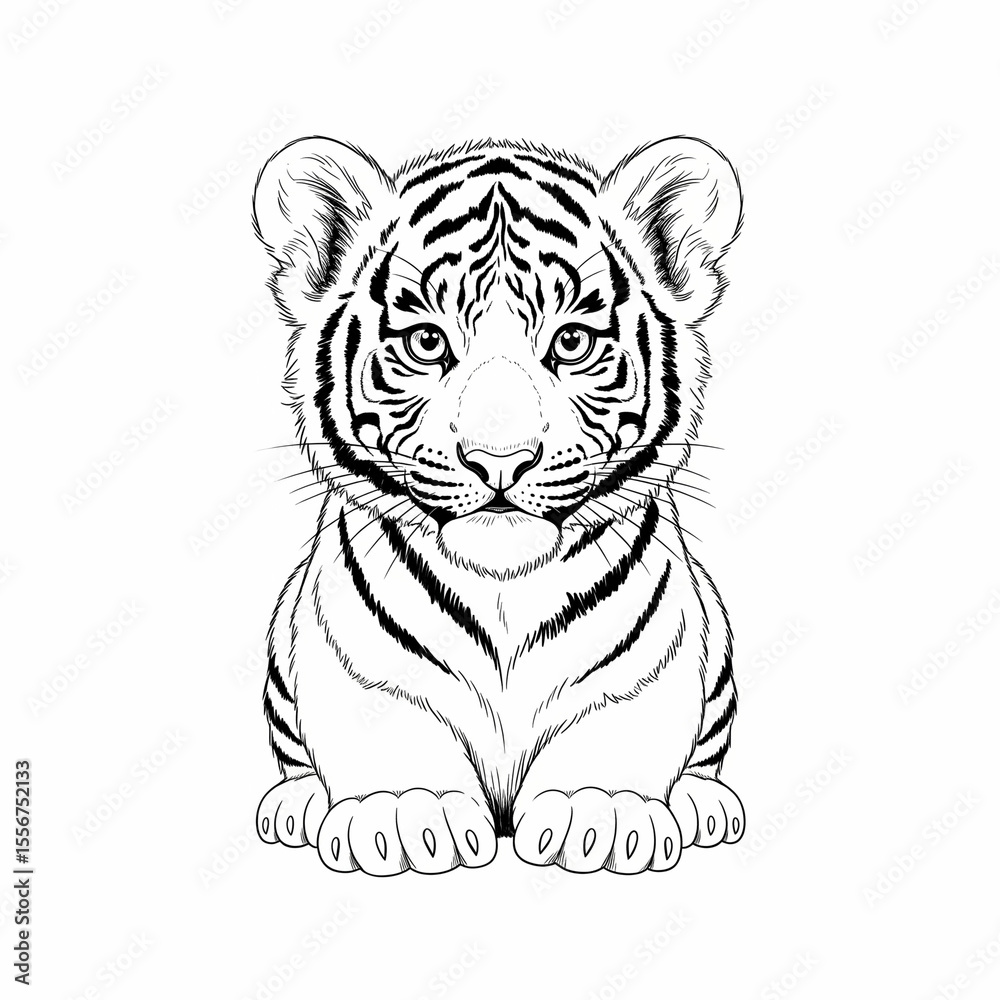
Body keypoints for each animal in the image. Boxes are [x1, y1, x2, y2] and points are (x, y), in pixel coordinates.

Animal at [252, 135, 745, 875]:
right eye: (427, 343)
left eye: (571, 343)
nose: (501, 459)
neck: (505, 587)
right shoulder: (362, 666)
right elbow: (382, 719)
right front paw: (406, 811)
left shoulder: (643, 667)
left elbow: (619, 721)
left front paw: (597, 810)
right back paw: (296, 805)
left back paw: (704, 805)